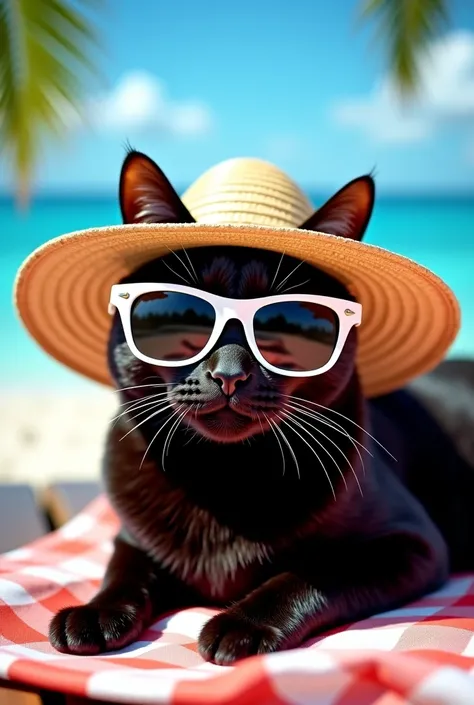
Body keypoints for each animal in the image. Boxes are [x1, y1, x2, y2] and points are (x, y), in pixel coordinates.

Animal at [48, 151, 474, 664]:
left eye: (283, 324)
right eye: (182, 316)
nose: (229, 373)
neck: (224, 475)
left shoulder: (412, 542)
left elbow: (312, 572)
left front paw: (242, 624)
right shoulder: (131, 537)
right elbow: (123, 567)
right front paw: (95, 612)